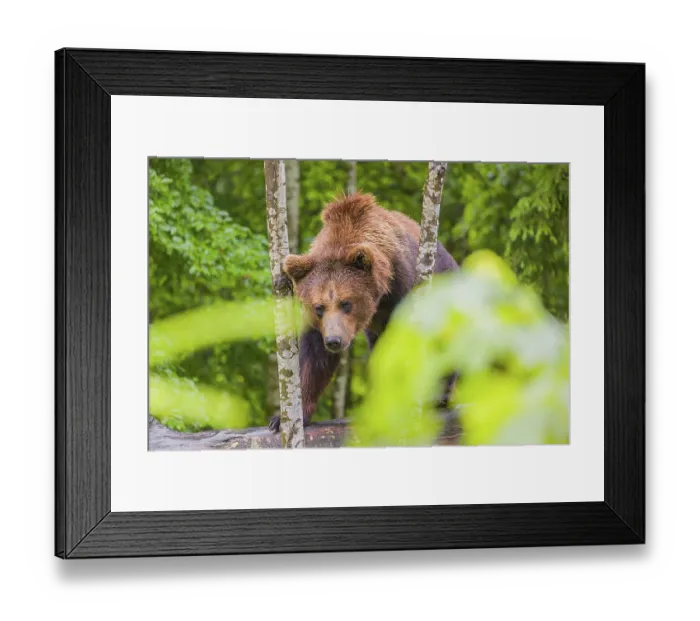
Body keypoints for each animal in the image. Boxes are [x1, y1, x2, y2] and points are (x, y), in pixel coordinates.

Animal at [269, 192, 459, 432]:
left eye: (346, 303)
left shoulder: (403, 289)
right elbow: (312, 357)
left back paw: (438, 396)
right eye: (319, 307)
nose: (334, 340)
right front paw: (285, 417)